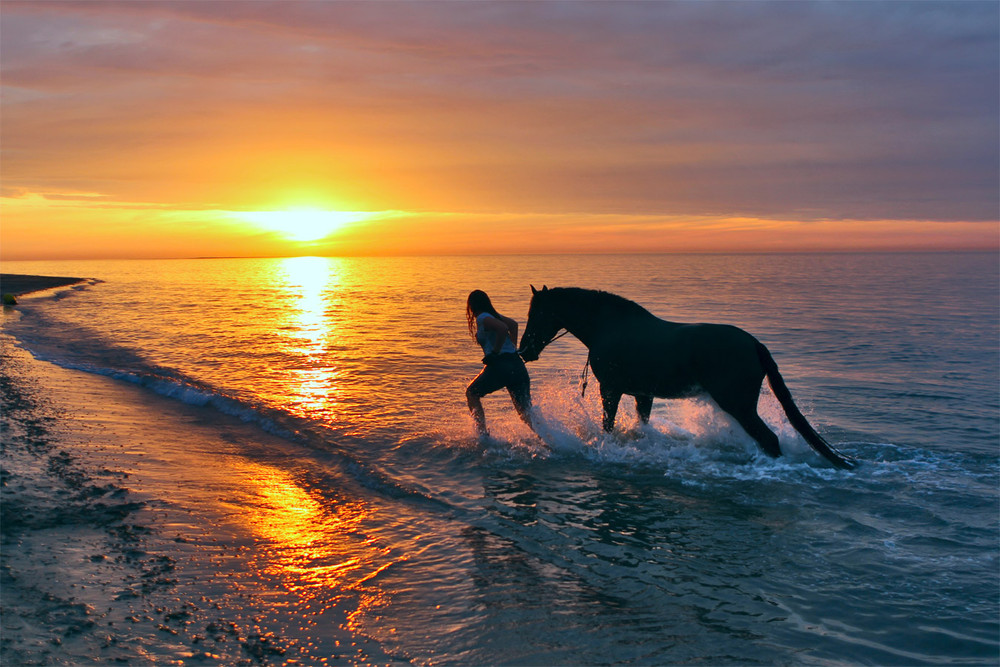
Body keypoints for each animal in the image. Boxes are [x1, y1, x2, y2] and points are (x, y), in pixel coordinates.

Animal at [520, 286, 856, 470]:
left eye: (537, 314)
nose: (524, 351)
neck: (609, 326)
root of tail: (754, 344)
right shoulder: (643, 394)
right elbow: (642, 426)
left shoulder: (611, 390)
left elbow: (608, 426)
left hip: (739, 406)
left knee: (769, 439)